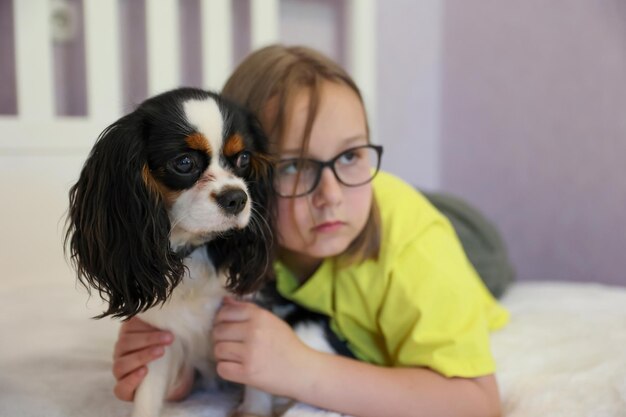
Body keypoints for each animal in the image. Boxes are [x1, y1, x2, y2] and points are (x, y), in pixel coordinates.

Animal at [65, 88, 276, 416]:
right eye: (184, 162)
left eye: (243, 158)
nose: (237, 198)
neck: (194, 249)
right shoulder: (162, 337)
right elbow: (147, 397)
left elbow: (257, 385)